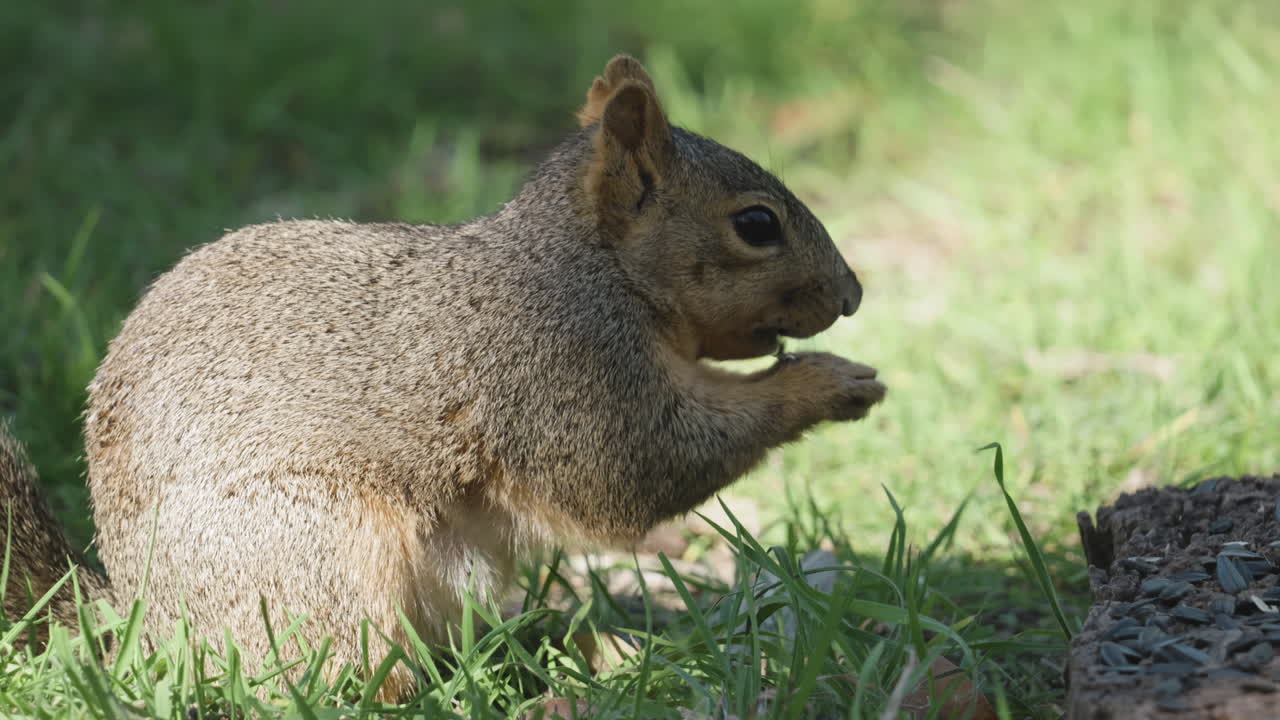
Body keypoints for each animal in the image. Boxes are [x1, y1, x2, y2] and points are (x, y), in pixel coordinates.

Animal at [1, 55, 885, 699]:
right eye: (757, 224)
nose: (852, 295)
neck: (587, 264)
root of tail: (144, 628)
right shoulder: (561, 369)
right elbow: (629, 474)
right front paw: (829, 384)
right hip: (315, 553)